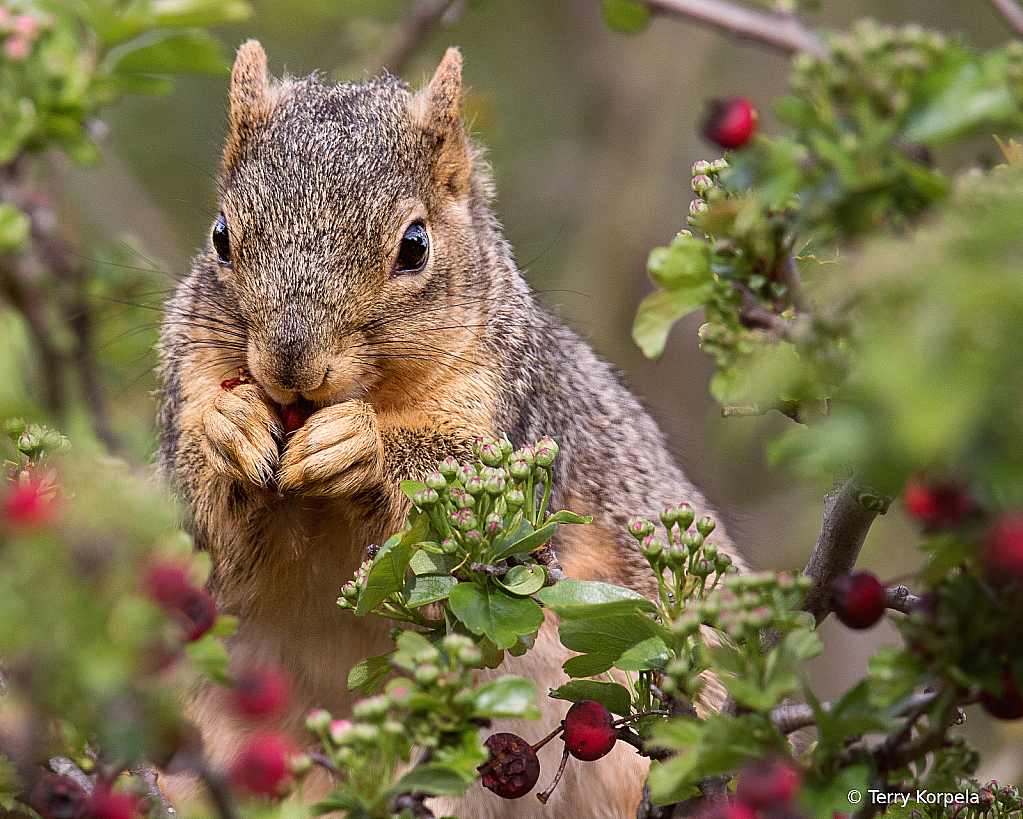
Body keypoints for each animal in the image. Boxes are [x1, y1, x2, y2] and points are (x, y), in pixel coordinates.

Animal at [155, 41, 740, 813]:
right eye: (221, 237)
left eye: (414, 245)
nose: (290, 364)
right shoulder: (190, 376)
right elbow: (208, 530)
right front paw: (230, 427)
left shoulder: (515, 413)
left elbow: (465, 496)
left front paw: (360, 443)